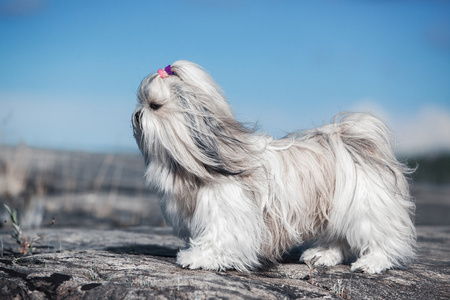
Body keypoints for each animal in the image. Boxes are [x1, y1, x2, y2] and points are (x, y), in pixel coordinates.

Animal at [132, 59, 416, 274]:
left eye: (154, 106)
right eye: (140, 102)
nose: (135, 115)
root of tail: (352, 142)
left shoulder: (226, 212)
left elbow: (218, 238)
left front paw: (199, 258)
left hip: (365, 206)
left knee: (381, 237)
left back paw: (373, 262)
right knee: (338, 238)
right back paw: (323, 255)